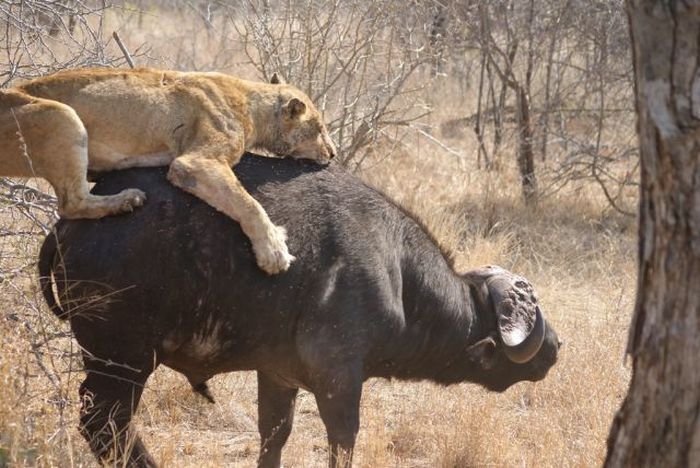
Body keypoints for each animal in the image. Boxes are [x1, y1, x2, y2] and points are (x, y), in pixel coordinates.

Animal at [39, 153, 564, 464]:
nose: (556, 345)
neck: (395, 272)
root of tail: (67, 224)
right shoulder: (339, 381)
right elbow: (342, 441)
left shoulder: (277, 377)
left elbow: (274, 436)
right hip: (122, 360)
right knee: (105, 425)